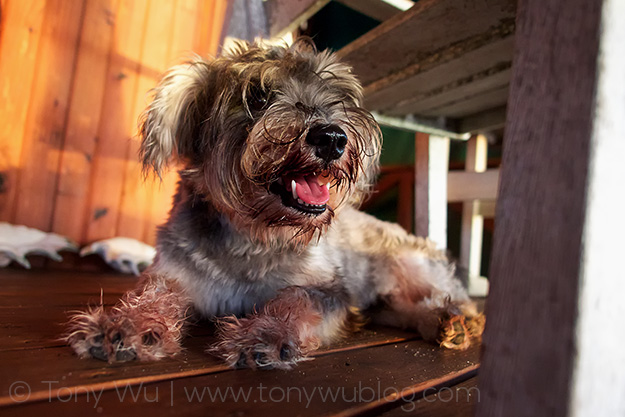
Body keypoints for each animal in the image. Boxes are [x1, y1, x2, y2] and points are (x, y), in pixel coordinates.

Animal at [66, 40, 482, 368]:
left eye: (336, 94)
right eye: (257, 95)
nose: (332, 137)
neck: (253, 237)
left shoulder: (329, 291)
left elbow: (296, 298)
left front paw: (266, 333)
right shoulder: (174, 271)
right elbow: (154, 292)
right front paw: (126, 324)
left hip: (409, 263)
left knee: (451, 299)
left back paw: (454, 319)